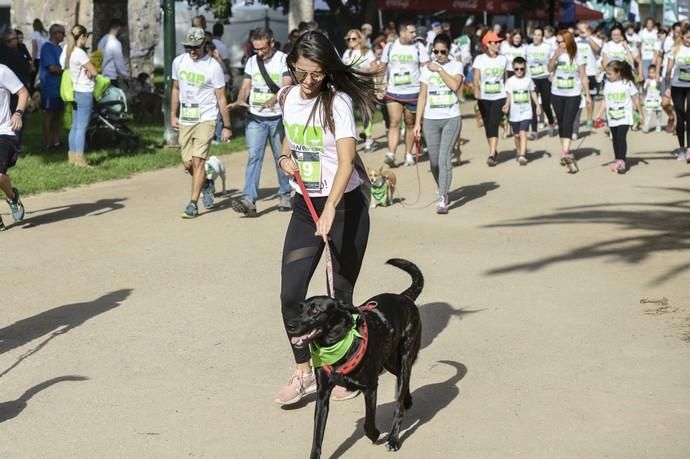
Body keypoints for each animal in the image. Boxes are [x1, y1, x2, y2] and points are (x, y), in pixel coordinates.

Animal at [284, 258, 422, 459]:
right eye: (300, 309)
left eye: (315, 311)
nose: (290, 325)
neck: (338, 344)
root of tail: (404, 298)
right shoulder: (322, 395)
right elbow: (317, 435)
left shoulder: (370, 388)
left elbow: (368, 423)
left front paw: (375, 434)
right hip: (388, 360)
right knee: (402, 378)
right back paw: (408, 399)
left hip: (405, 355)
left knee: (399, 401)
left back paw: (393, 439)